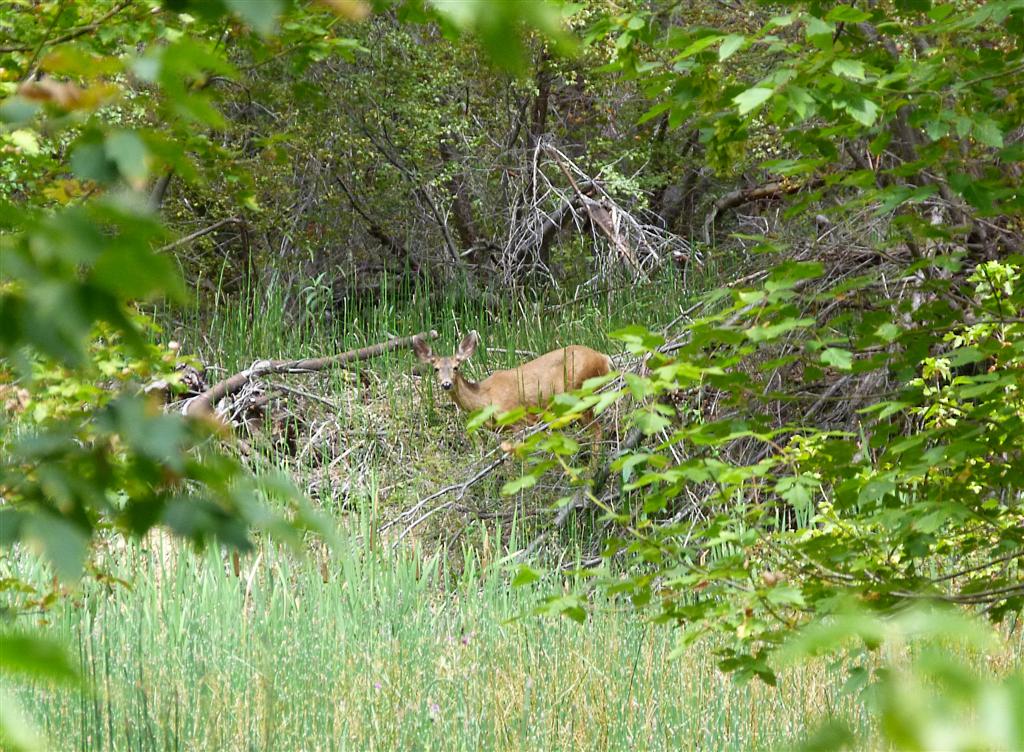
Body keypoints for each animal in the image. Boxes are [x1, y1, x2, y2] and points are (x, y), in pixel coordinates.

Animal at [411, 331, 610, 436]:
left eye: (456, 367)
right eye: (436, 369)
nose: (446, 384)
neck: (484, 398)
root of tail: (604, 358)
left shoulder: (518, 420)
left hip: (580, 393)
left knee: (597, 431)